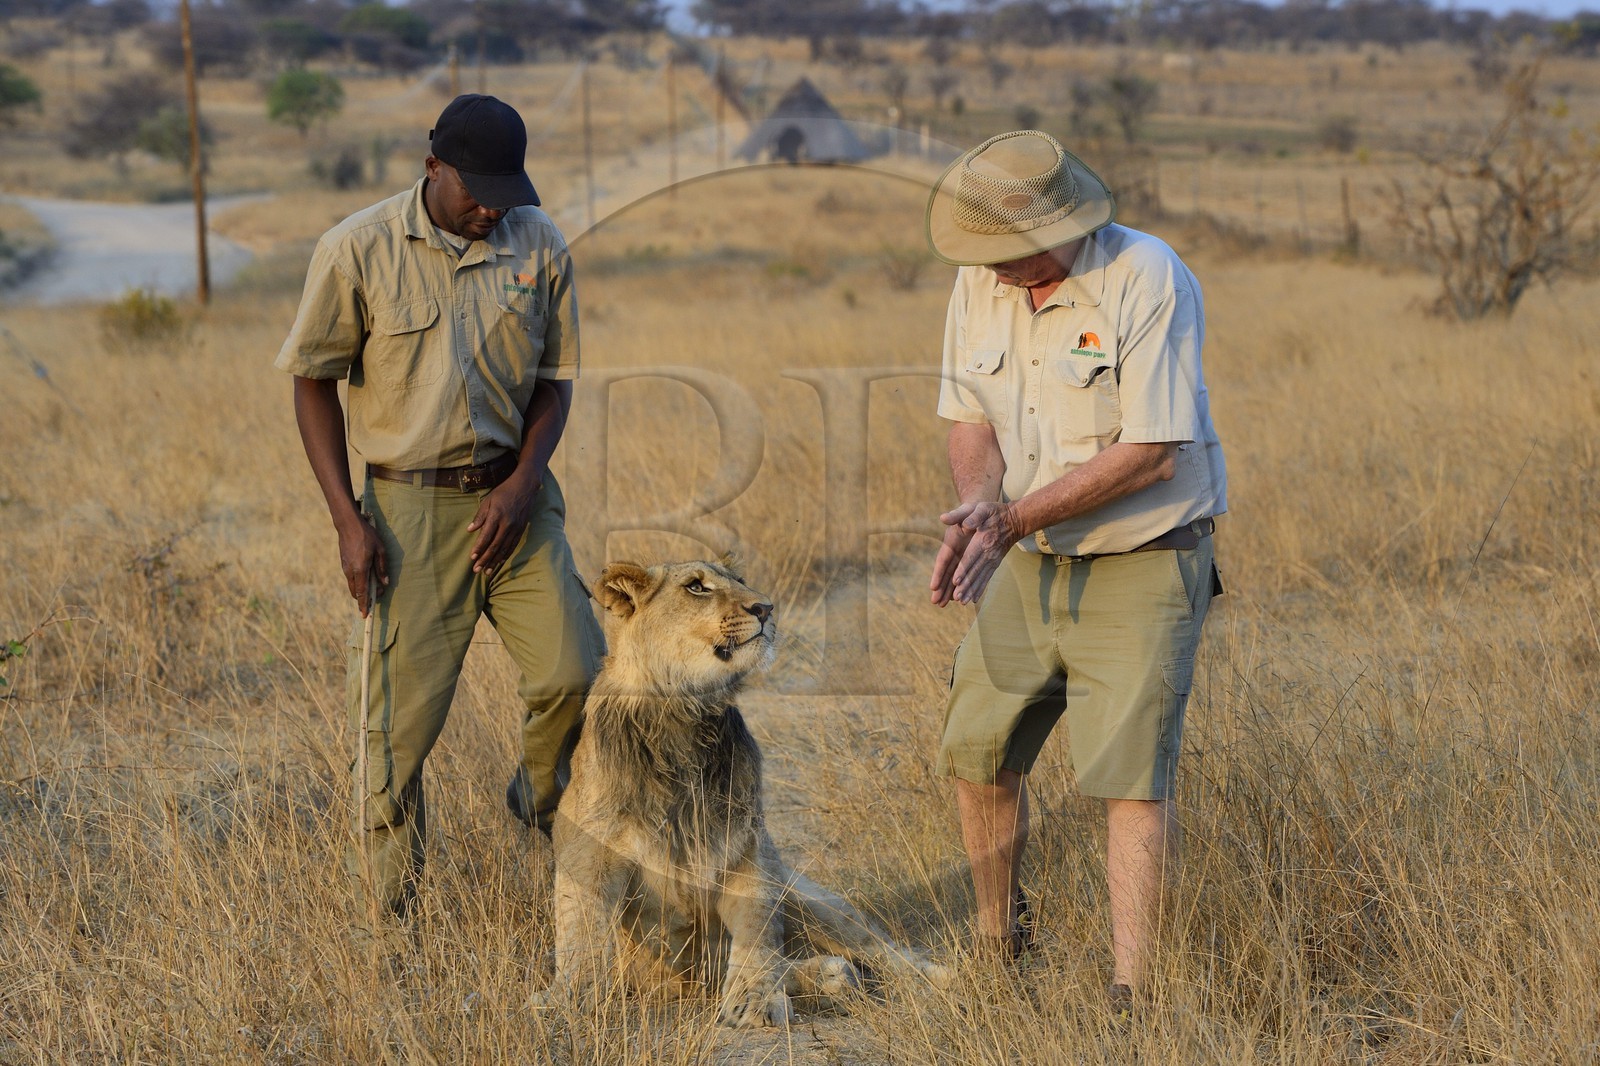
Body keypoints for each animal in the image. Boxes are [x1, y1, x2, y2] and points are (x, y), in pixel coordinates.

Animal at [535, 557, 950, 1027]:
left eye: (739, 580)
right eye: (696, 587)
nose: (766, 608)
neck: (683, 714)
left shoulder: (747, 845)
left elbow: (757, 929)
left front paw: (754, 1000)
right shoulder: (592, 849)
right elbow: (581, 930)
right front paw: (567, 1001)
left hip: (805, 898)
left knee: (881, 950)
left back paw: (934, 976)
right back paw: (832, 977)